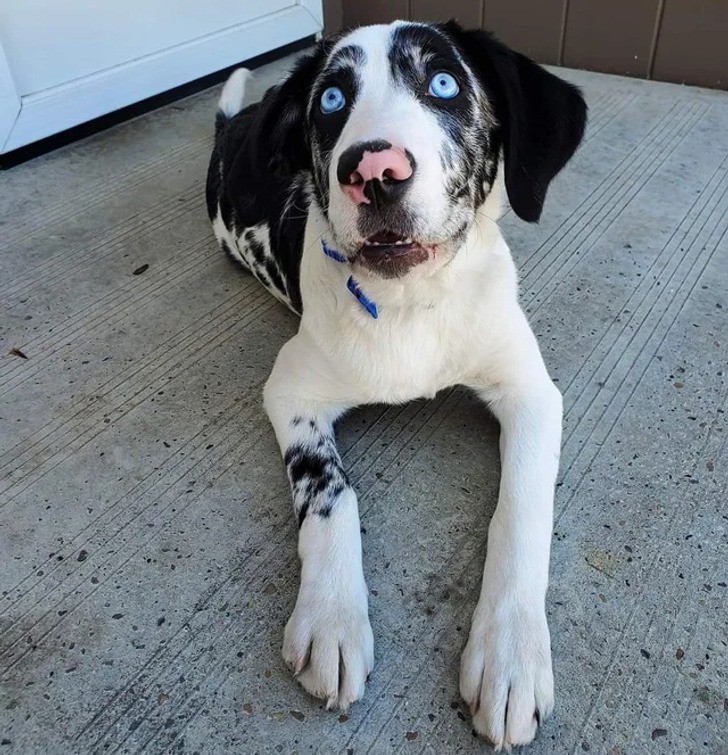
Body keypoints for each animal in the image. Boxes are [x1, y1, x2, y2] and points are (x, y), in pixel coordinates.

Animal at [203, 19, 584, 752]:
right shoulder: (291, 390)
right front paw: (331, 617)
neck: (411, 304)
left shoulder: (531, 393)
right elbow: (330, 493)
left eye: (443, 83)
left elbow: (522, 509)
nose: (375, 173)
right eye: (330, 100)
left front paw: (512, 652)